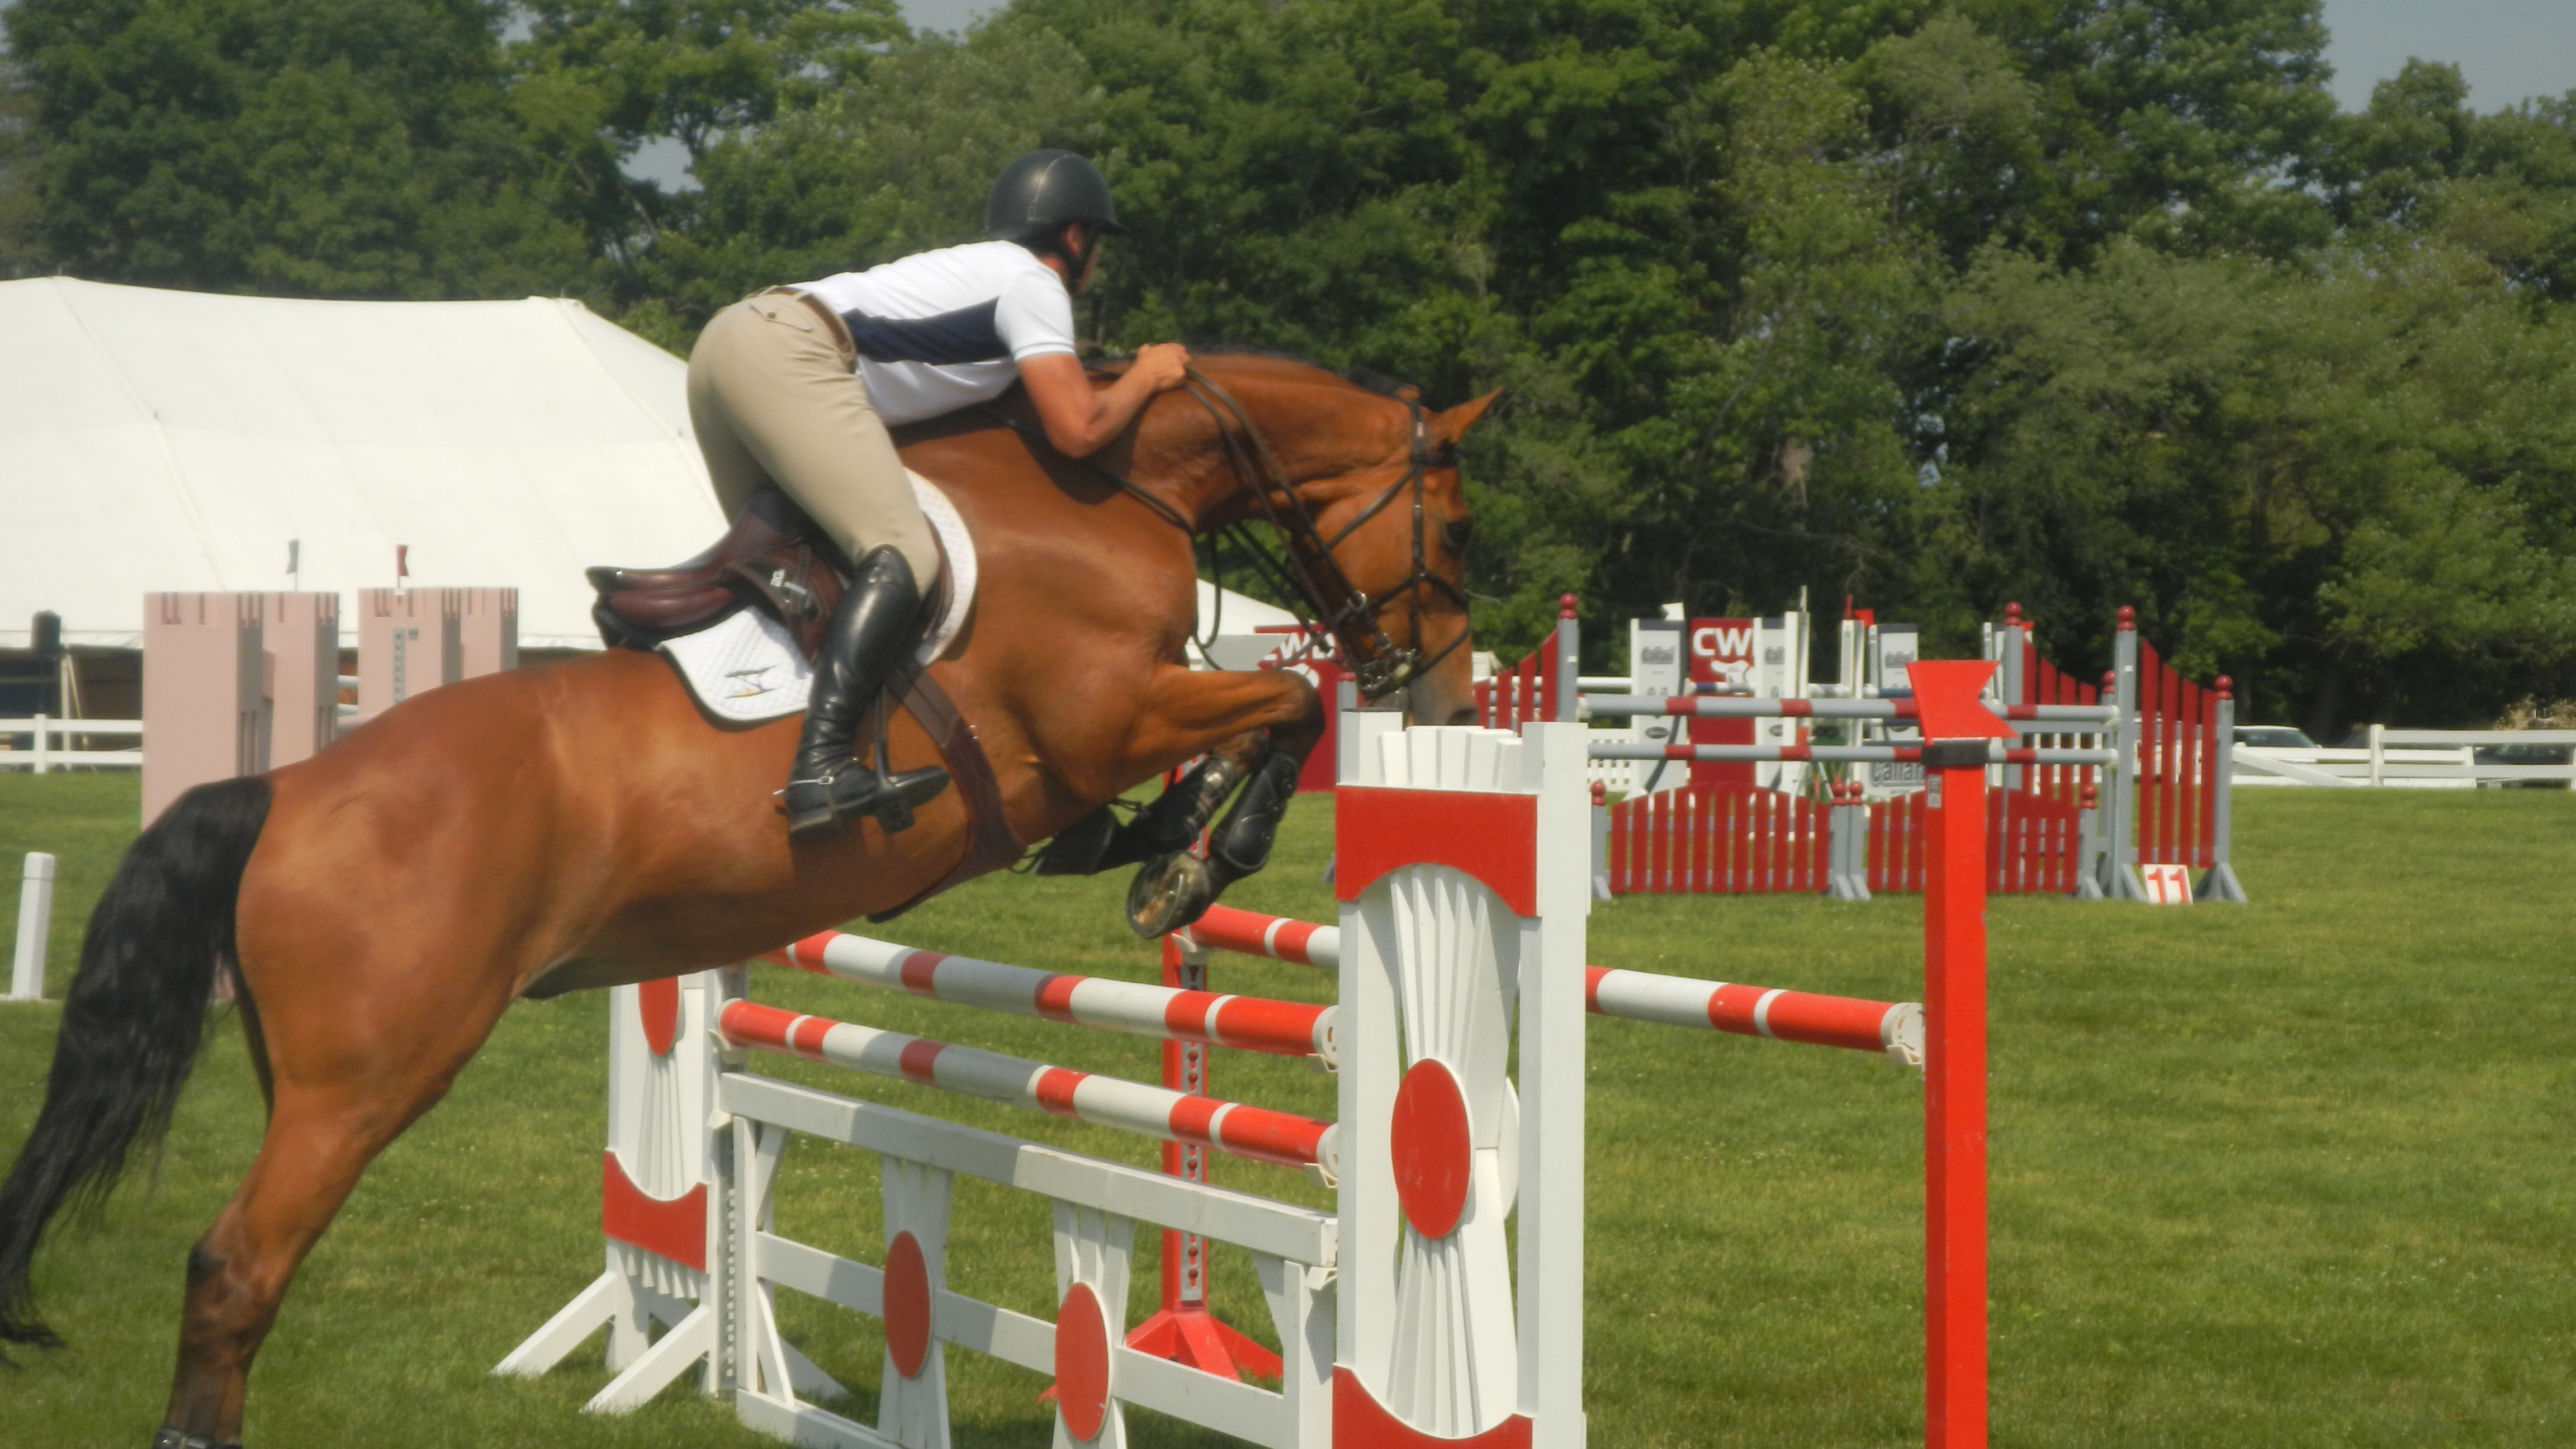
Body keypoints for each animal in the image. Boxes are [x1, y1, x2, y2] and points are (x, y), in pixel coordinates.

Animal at [0, 354, 1492, 1447]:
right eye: (1463, 521)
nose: (1448, 693)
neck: (1113, 482)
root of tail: (285, 787)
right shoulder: (1103, 716)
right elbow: (1285, 704)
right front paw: (1193, 854)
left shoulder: (1123, 722)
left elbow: (1256, 715)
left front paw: (1166, 840)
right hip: (368, 1082)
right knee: (235, 1267)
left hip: (308, 1073)